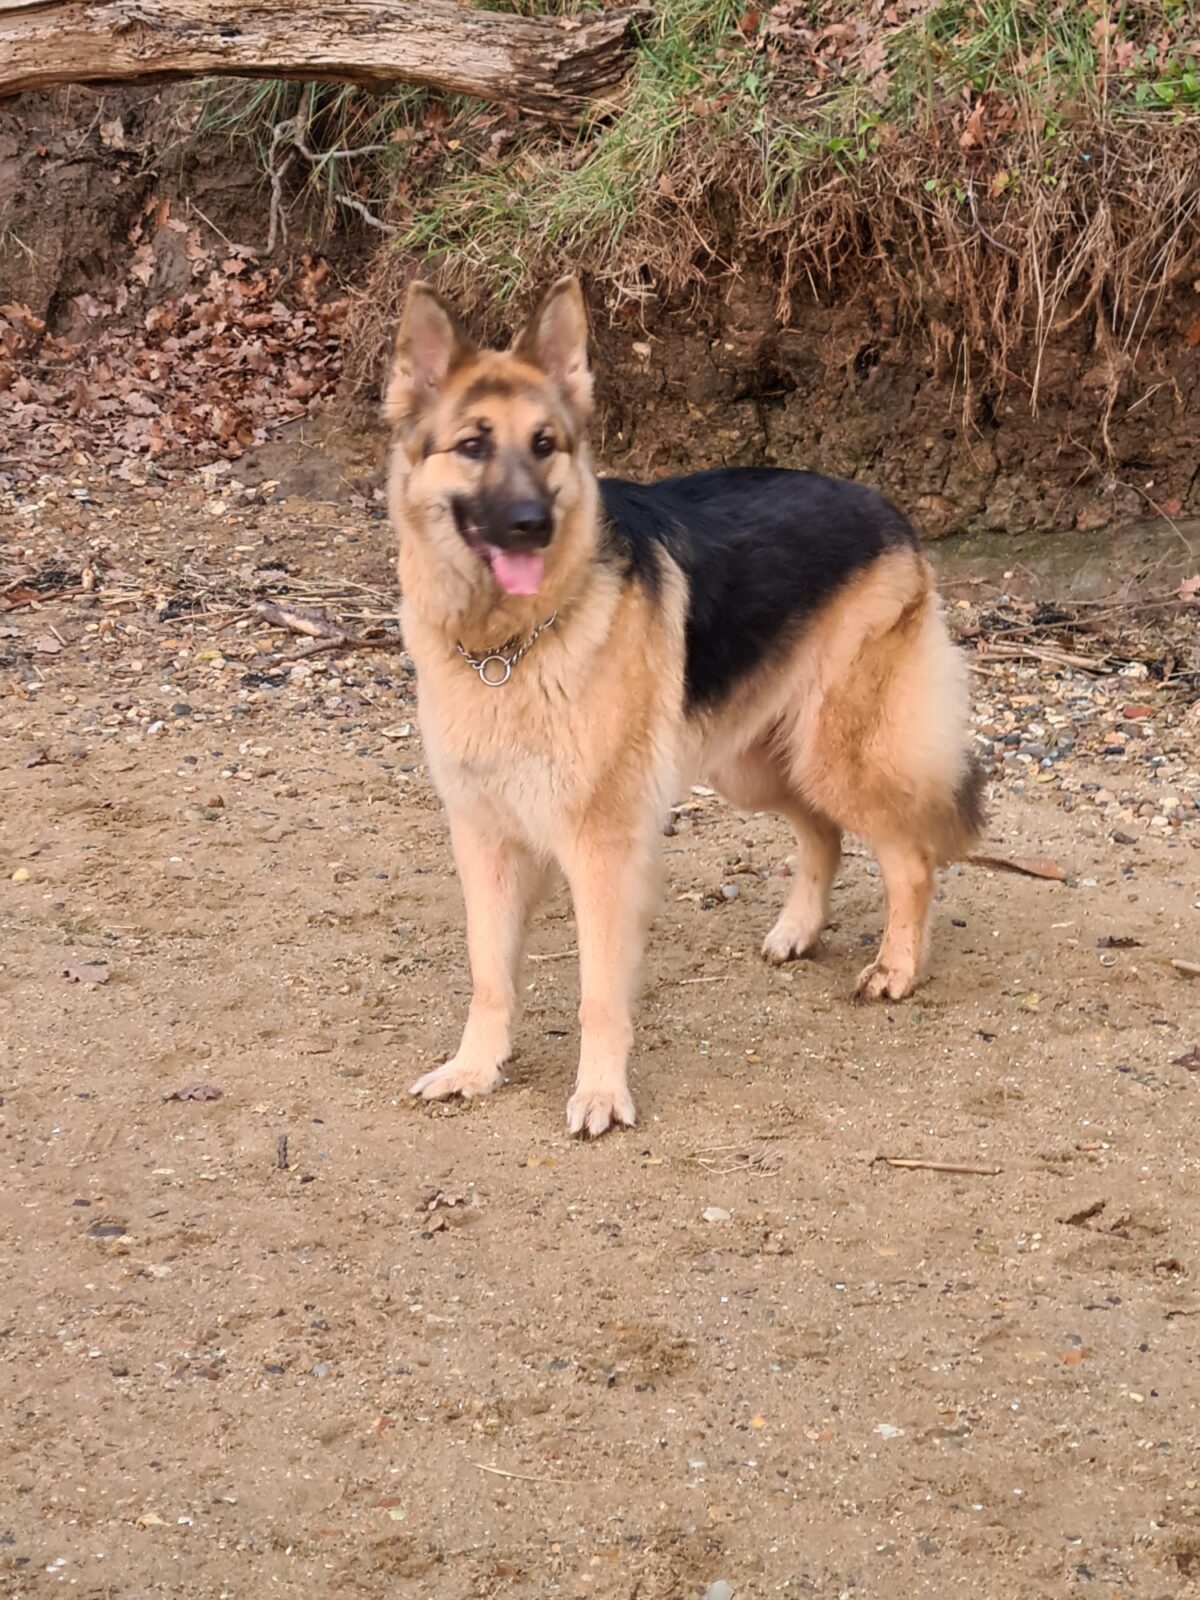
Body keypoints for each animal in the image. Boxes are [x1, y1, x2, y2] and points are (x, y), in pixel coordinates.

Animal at [387, 281, 985, 1139]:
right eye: (472, 445)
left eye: (545, 444)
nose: (534, 525)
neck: (507, 647)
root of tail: (885, 506)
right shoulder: (485, 842)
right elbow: (489, 974)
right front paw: (475, 1069)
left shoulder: (602, 849)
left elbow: (599, 992)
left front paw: (602, 1093)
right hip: (756, 766)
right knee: (823, 834)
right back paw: (799, 931)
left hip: (834, 756)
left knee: (909, 857)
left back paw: (896, 968)